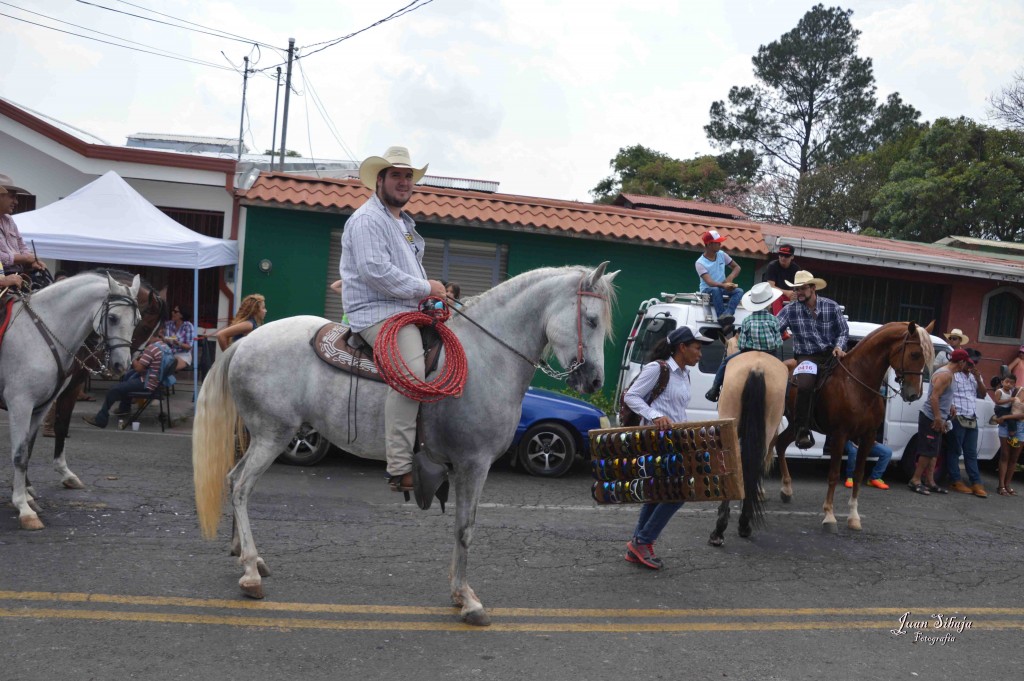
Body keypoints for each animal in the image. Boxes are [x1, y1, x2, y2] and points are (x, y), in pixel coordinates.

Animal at [1, 274, 140, 528]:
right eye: (113, 318)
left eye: (137, 320)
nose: (121, 365)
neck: (42, 334)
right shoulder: (20, 403)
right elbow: (19, 453)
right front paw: (24, 508)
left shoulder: (42, 405)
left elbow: (29, 448)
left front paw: (27, 494)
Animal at [196, 262, 618, 622]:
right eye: (592, 320)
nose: (595, 381)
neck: (486, 358)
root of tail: (247, 341)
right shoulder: (474, 463)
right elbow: (466, 529)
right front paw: (469, 601)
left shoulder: (465, 468)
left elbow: (462, 526)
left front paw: (458, 593)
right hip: (274, 435)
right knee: (240, 486)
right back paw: (250, 573)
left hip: (263, 436)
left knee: (234, 480)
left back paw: (247, 557)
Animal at [774, 323, 937, 532]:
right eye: (915, 354)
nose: (915, 394)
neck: (857, 385)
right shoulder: (839, 435)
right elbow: (834, 474)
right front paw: (829, 516)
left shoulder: (867, 437)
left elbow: (858, 475)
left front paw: (853, 516)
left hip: (795, 423)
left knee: (779, 445)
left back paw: (786, 489)